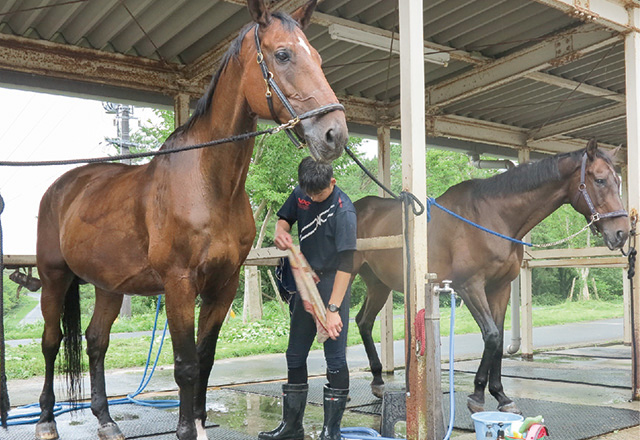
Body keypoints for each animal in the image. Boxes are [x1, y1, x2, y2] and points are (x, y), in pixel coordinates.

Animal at [33, 1, 348, 438]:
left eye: (317, 57)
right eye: (283, 54)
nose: (335, 134)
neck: (209, 185)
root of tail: (62, 186)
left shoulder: (223, 285)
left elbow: (205, 358)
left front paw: (199, 420)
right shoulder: (179, 285)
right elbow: (184, 365)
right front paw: (186, 428)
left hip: (109, 286)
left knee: (96, 341)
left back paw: (106, 420)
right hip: (54, 278)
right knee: (51, 341)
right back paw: (46, 420)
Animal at [352, 142, 628, 416]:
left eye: (618, 180)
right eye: (600, 180)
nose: (622, 233)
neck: (492, 217)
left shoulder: (500, 288)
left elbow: (500, 338)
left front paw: (501, 395)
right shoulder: (470, 286)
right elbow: (492, 336)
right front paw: (477, 395)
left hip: (378, 284)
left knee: (364, 321)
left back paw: (378, 381)